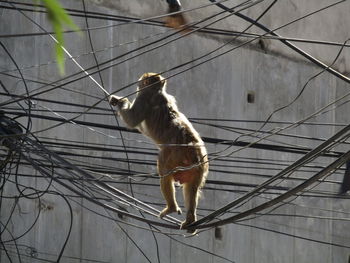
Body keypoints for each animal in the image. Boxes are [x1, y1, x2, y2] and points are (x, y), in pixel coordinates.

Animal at [109, 73, 208, 232]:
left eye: (141, 82)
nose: (138, 84)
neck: (158, 90)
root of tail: (194, 150)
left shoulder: (143, 97)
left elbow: (132, 120)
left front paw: (120, 101)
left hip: (174, 156)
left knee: (164, 172)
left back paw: (171, 207)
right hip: (199, 169)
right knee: (191, 188)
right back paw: (190, 219)